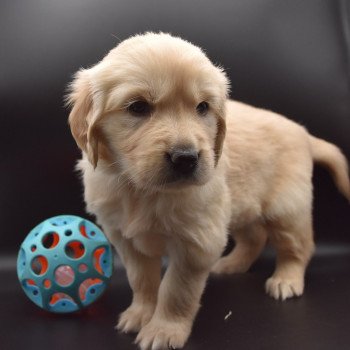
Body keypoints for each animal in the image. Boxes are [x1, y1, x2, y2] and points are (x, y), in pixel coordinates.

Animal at [66, 32, 350, 348]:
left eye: (202, 107)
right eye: (138, 107)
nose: (186, 158)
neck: (143, 191)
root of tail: (303, 133)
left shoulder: (196, 244)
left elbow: (176, 291)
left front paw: (164, 330)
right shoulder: (126, 240)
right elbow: (142, 280)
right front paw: (140, 314)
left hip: (286, 208)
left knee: (297, 246)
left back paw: (286, 279)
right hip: (239, 206)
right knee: (255, 237)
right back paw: (232, 264)